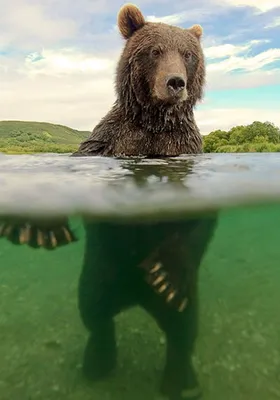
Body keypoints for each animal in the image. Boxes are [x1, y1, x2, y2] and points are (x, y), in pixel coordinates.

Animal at [71, 2, 205, 158]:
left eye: (187, 54)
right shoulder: (110, 140)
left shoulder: (183, 142)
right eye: (155, 51)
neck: (155, 122)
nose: (176, 82)